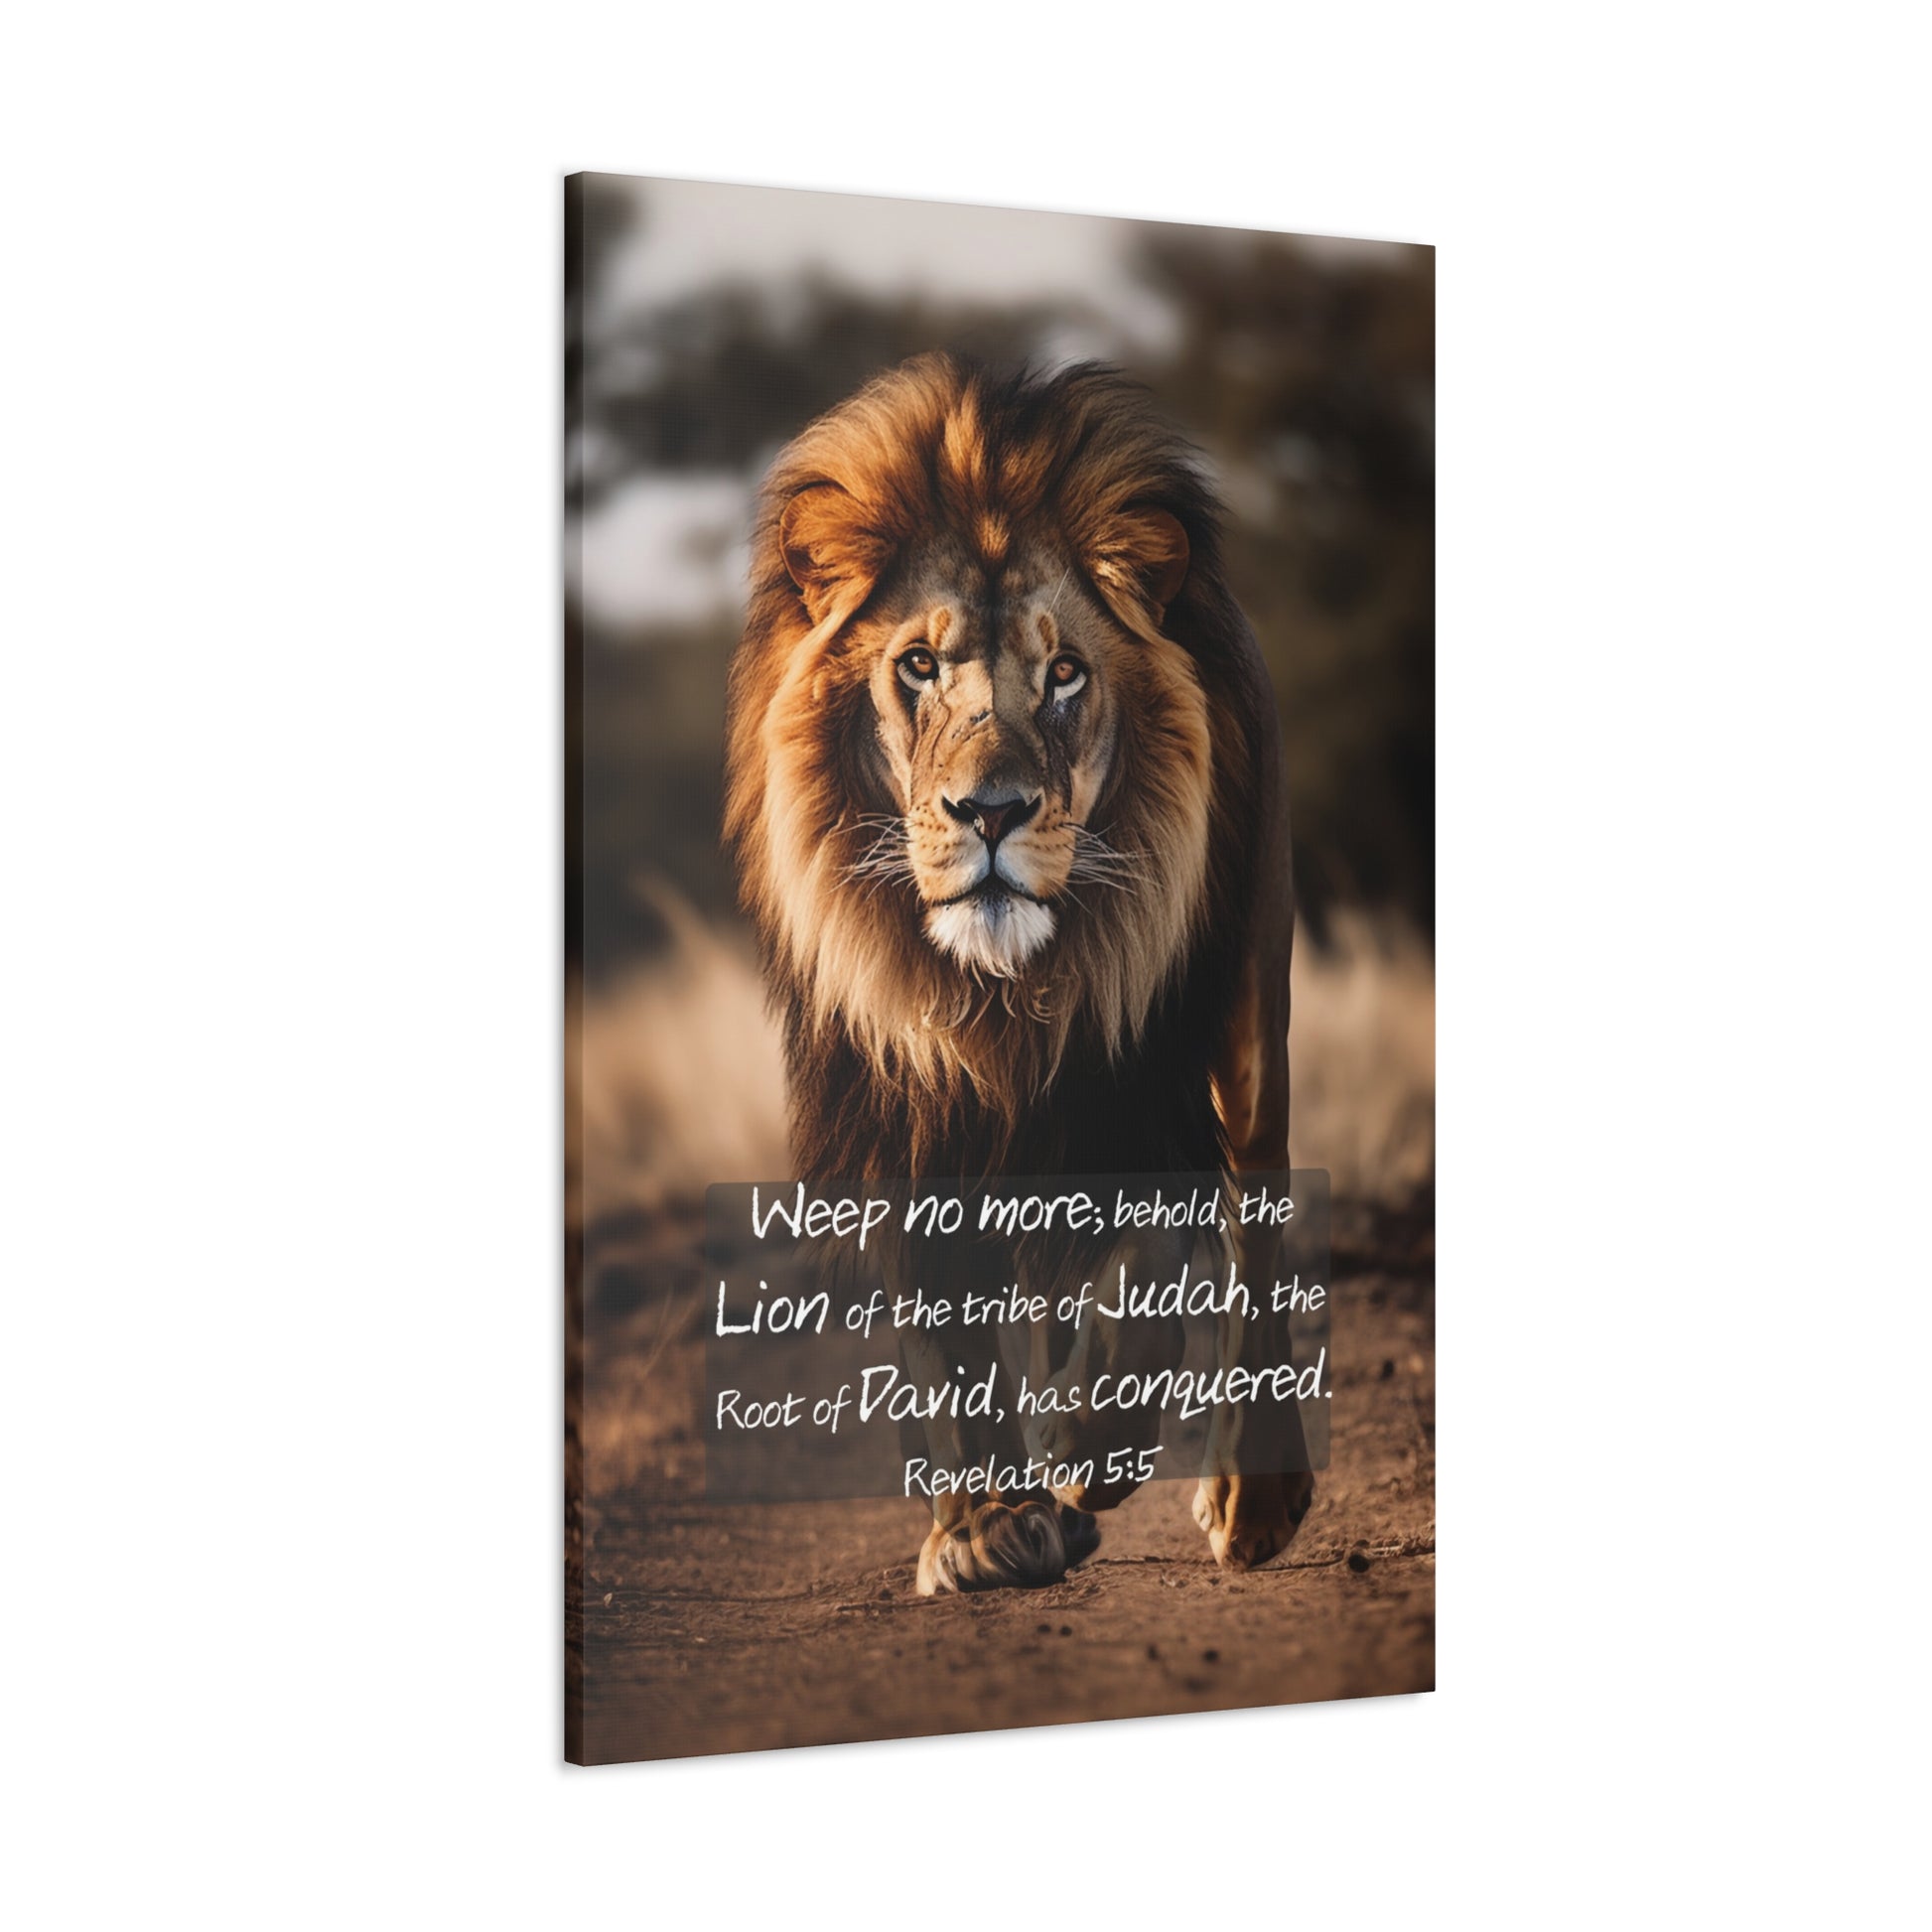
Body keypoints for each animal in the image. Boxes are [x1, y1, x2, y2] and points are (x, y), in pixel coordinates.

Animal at [724, 354, 1314, 1593]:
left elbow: (1149, 1277)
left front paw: (1091, 1445)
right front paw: (986, 1525)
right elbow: (943, 1332)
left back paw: (1245, 1495)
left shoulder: (1145, 1078)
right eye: (915, 665)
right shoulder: (898, 1102)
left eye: (1064, 675)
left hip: (1246, 1020)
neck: (1000, 998)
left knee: (1254, 1215)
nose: (988, 810)